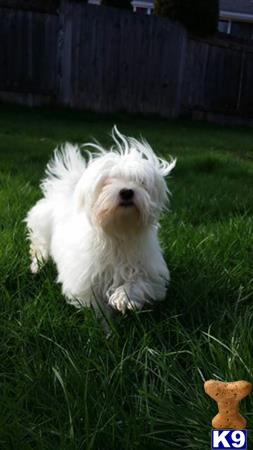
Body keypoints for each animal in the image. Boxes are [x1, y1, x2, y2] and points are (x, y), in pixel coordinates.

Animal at [25, 127, 176, 312]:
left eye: (141, 182)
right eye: (107, 181)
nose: (127, 191)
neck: (119, 231)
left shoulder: (150, 273)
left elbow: (141, 283)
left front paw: (123, 297)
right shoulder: (85, 277)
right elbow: (93, 302)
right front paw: (101, 314)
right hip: (42, 228)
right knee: (39, 246)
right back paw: (37, 265)